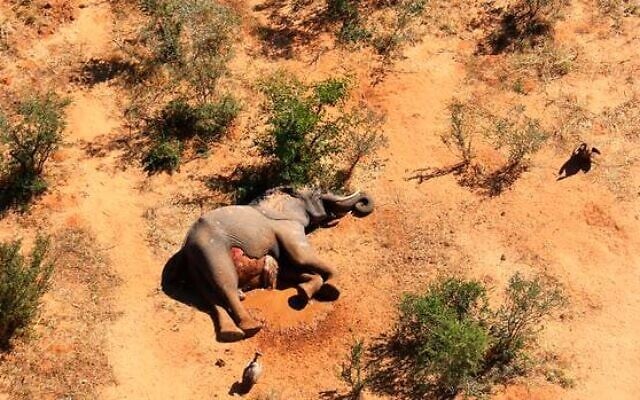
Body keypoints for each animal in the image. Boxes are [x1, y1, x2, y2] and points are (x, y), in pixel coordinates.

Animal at [170, 187, 374, 342]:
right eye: (318, 194)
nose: (361, 202)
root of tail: (186, 246)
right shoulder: (287, 226)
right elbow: (301, 256)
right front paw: (333, 289)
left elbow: (289, 268)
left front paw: (304, 292)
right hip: (211, 249)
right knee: (226, 285)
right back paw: (252, 326)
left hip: (195, 262)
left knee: (210, 297)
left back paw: (231, 334)